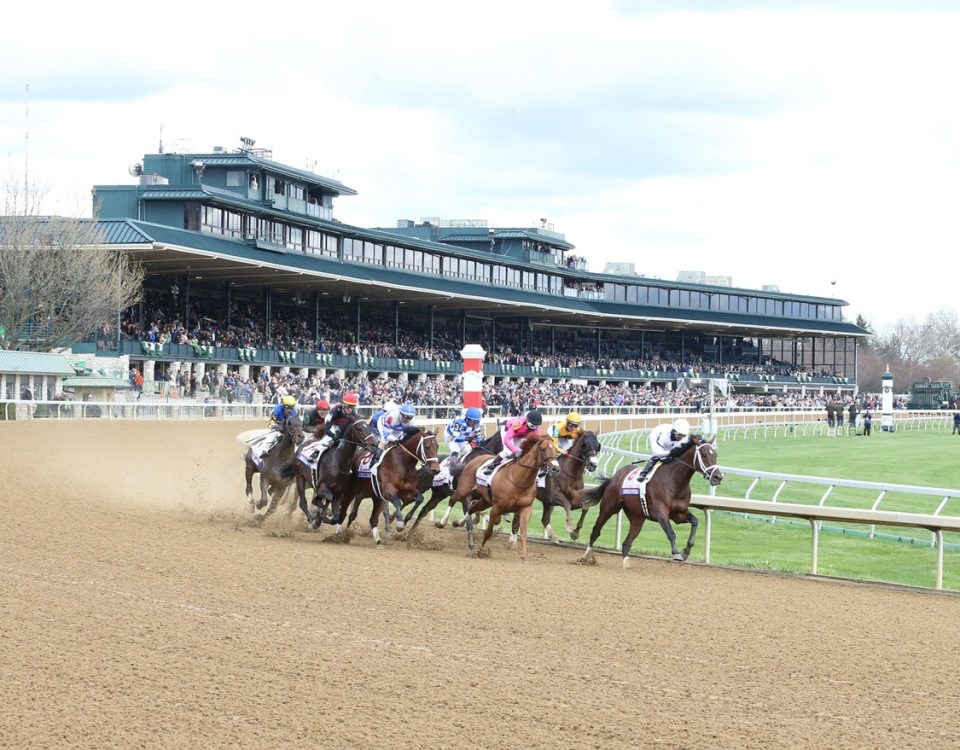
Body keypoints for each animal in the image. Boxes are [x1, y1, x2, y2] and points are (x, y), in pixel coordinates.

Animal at [452, 434, 560, 564]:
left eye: (555, 450)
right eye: (543, 449)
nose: (556, 468)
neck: (519, 479)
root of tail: (474, 459)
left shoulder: (526, 508)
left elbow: (523, 532)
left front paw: (524, 557)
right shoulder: (497, 507)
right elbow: (488, 532)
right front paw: (481, 551)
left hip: (485, 500)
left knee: (472, 508)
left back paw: (458, 522)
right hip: (463, 491)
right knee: (453, 500)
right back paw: (442, 523)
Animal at [576, 434, 720, 568]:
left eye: (715, 455)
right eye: (704, 455)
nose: (718, 477)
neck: (675, 482)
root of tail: (613, 478)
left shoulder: (679, 514)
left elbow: (695, 521)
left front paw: (686, 551)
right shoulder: (661, 514)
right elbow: (671, 533)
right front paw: (676, 553)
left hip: (637, 517)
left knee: (627, 543)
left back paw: (626, 563)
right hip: (608, 508)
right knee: (596, 531)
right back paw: (585, 556)